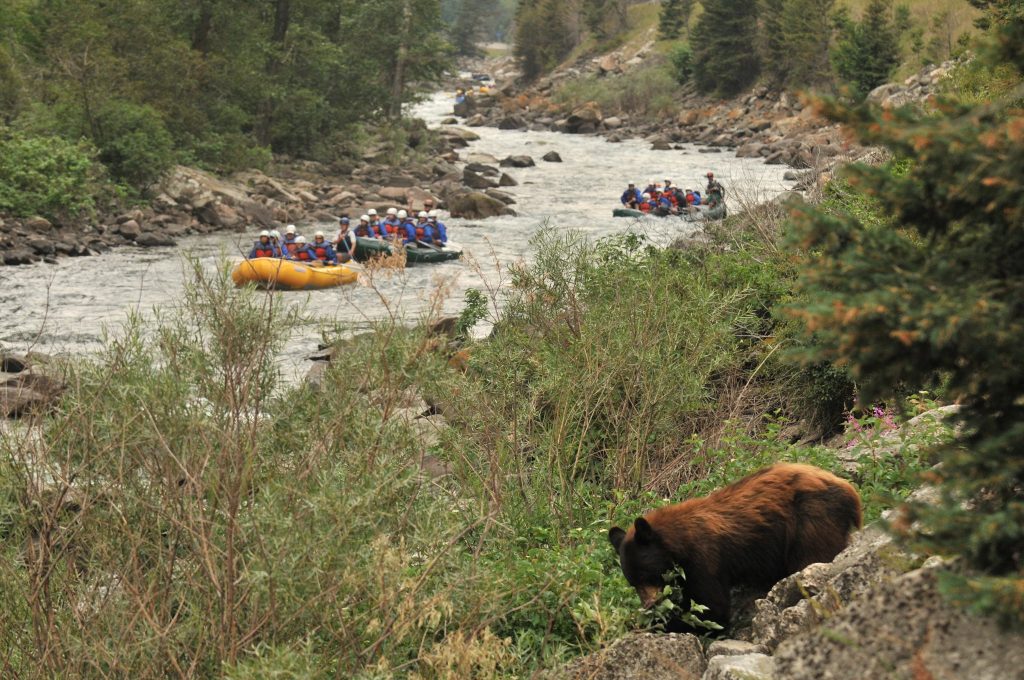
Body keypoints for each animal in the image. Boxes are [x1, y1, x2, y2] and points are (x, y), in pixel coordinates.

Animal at [610, 462, 860, 630]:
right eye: (632, 582)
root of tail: (849, 489)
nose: (649, 603)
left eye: (646, 574)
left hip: (811, 519)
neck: (679, 542)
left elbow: (712, 608)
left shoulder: (704, 559)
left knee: (812, 556)